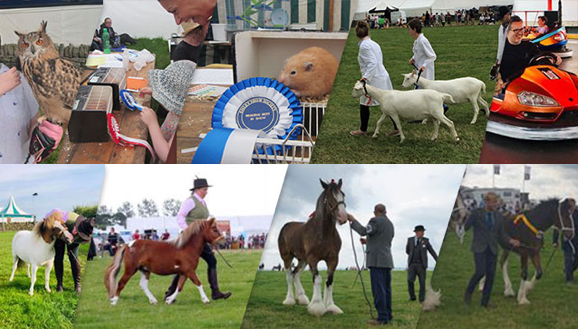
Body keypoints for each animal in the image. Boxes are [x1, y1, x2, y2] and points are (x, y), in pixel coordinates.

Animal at [276, 179, 344, 316]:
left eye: (343, 195)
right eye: (330, 197)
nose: (343, 217)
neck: (323, 233)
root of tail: (286, 226)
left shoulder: (333, 259)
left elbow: (329, 281)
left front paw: (330, 306)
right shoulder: (313, 259)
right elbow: (317, 279)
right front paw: (317, 306)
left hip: (303, 259)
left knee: (295, 274)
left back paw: (302, 298)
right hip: (287, 257)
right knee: (289, 276)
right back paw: (289, 300)